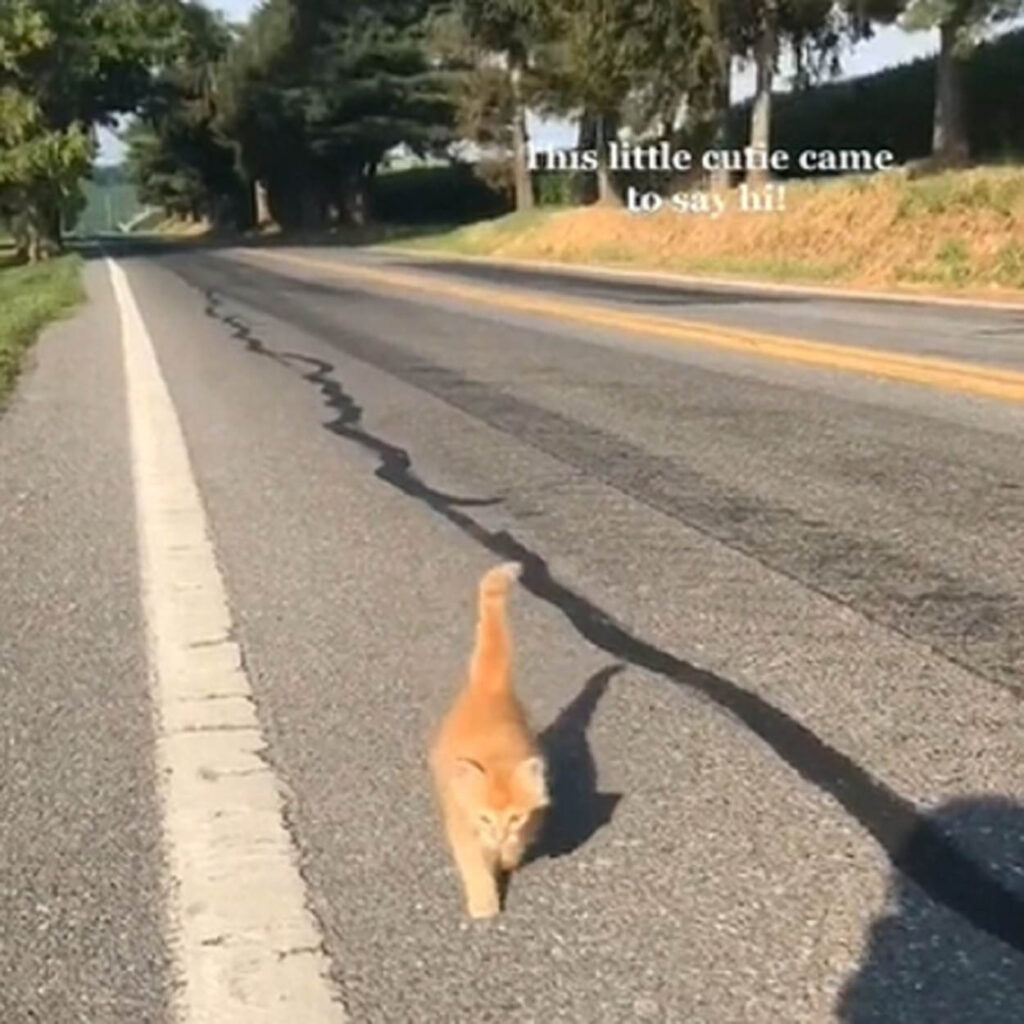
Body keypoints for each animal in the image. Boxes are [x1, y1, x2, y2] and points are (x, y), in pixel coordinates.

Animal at [428, 561, 548, 921]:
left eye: (514, 817)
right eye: (484, 818)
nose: (498, 835)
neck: (496, 757)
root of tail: (488, 688)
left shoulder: (534, 815)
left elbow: (519, 843)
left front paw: (508, 856)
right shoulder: (462, 821)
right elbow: (474, 865)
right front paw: (485, 905)